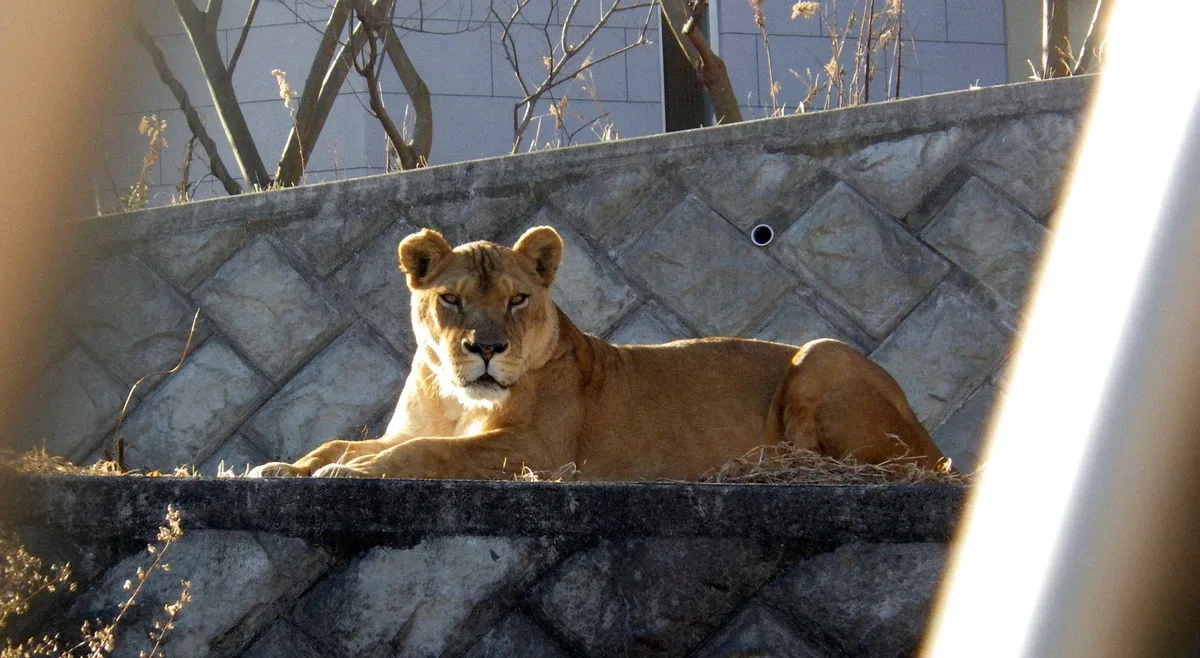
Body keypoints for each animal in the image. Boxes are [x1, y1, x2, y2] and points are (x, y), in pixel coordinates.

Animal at [248, 226, 949, 481]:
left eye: (517, 300)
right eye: (450, 299)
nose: (486, 349)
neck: (454, 398)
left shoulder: (538, 451)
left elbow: (426, 454)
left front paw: (349, 474)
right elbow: (345, 442)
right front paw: (285, 467)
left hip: (823, 353)